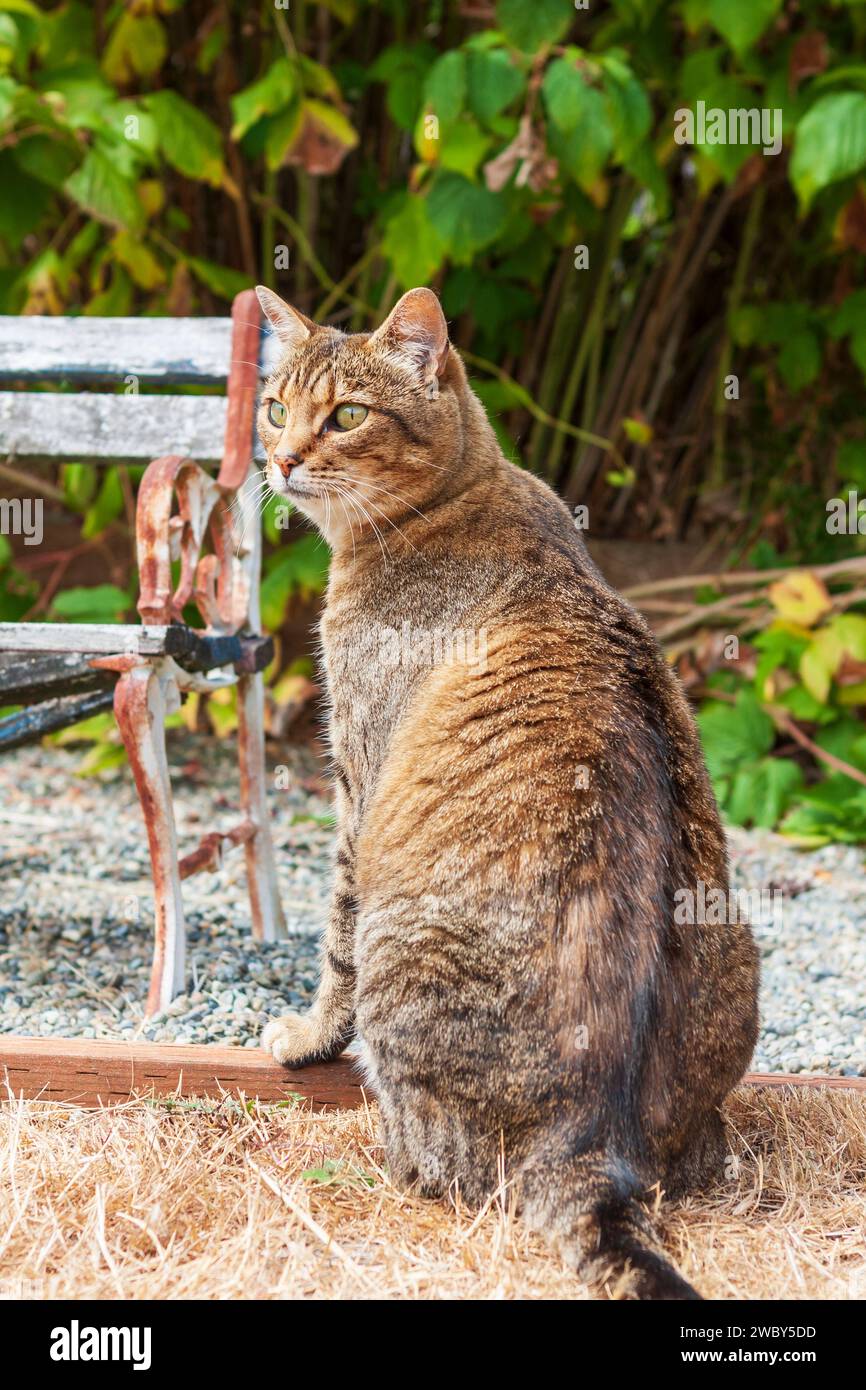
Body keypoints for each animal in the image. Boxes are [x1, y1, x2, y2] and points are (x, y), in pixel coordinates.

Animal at [255, 284, 756, 1301]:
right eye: (276, 407)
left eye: (348, 416)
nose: (281, 459)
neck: (462, 494)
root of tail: (592, 1149)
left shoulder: (356, 785)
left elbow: (332, 944)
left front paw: (308, 1036)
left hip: (406, 947)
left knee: (432, 1163)